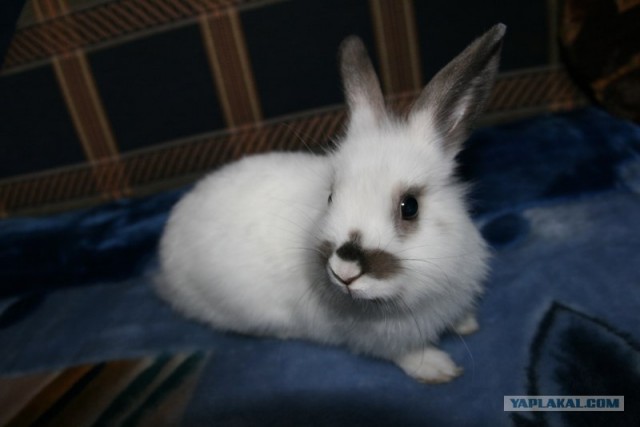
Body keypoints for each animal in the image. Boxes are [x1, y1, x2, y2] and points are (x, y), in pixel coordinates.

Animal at [156, 23, 505, 383]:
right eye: (331, 196)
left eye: (410, 207)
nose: (345, 271)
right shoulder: (378, 339)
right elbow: (405, 353)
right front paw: (438, 368)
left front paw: (467, 322)